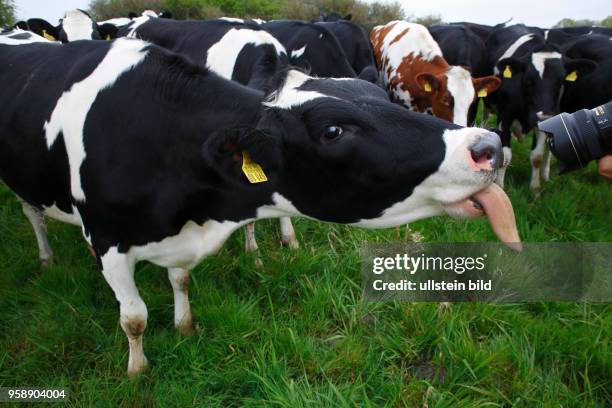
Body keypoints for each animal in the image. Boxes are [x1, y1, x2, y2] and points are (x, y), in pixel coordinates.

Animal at [0, 39, 520, 376]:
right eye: (333, 130)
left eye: (378, 97)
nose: (488, 145)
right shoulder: (106, 240)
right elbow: (134, 318)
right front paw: (137, 372)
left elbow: (180, 280)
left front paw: (184, 326)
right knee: (32, 214)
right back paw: (45, 257)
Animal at [486, 23, 596, 193]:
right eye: (529, 79)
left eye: (561, 80)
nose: (544, 115)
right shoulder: (505, 116)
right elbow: (506, 155)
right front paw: (500, 186)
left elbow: (537, 155)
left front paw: (535, 188)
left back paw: (545, 175)